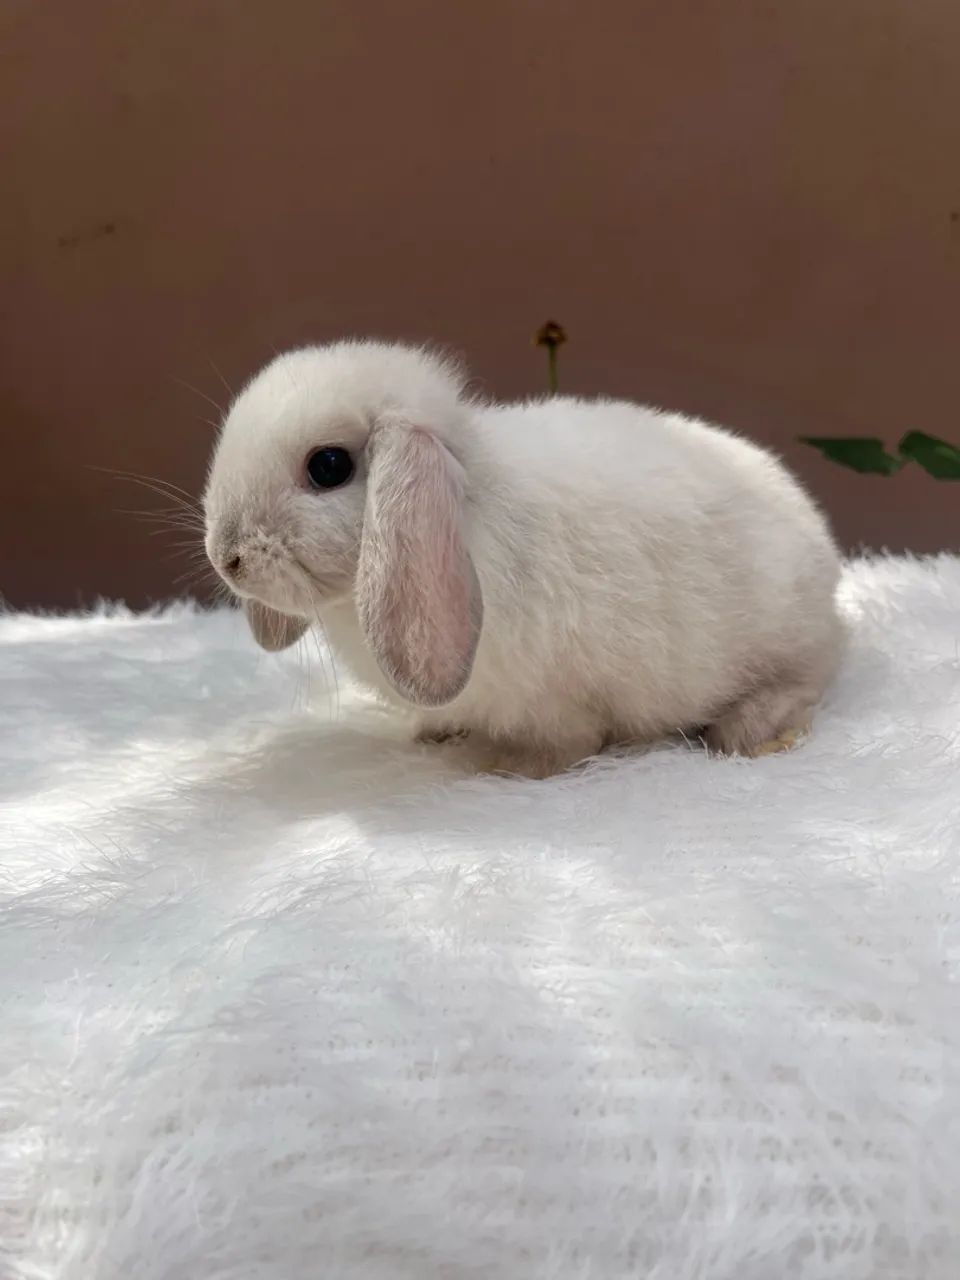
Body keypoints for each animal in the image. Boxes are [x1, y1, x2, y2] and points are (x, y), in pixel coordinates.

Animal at [203, 340, 843, 778]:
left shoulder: (559, 700)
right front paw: (431, 735)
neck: (470, 506)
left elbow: (568, 745)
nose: (226, 557)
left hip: (786, 644)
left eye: (329, 466)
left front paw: (502, 766)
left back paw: (750, 733)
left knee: (808, 681)